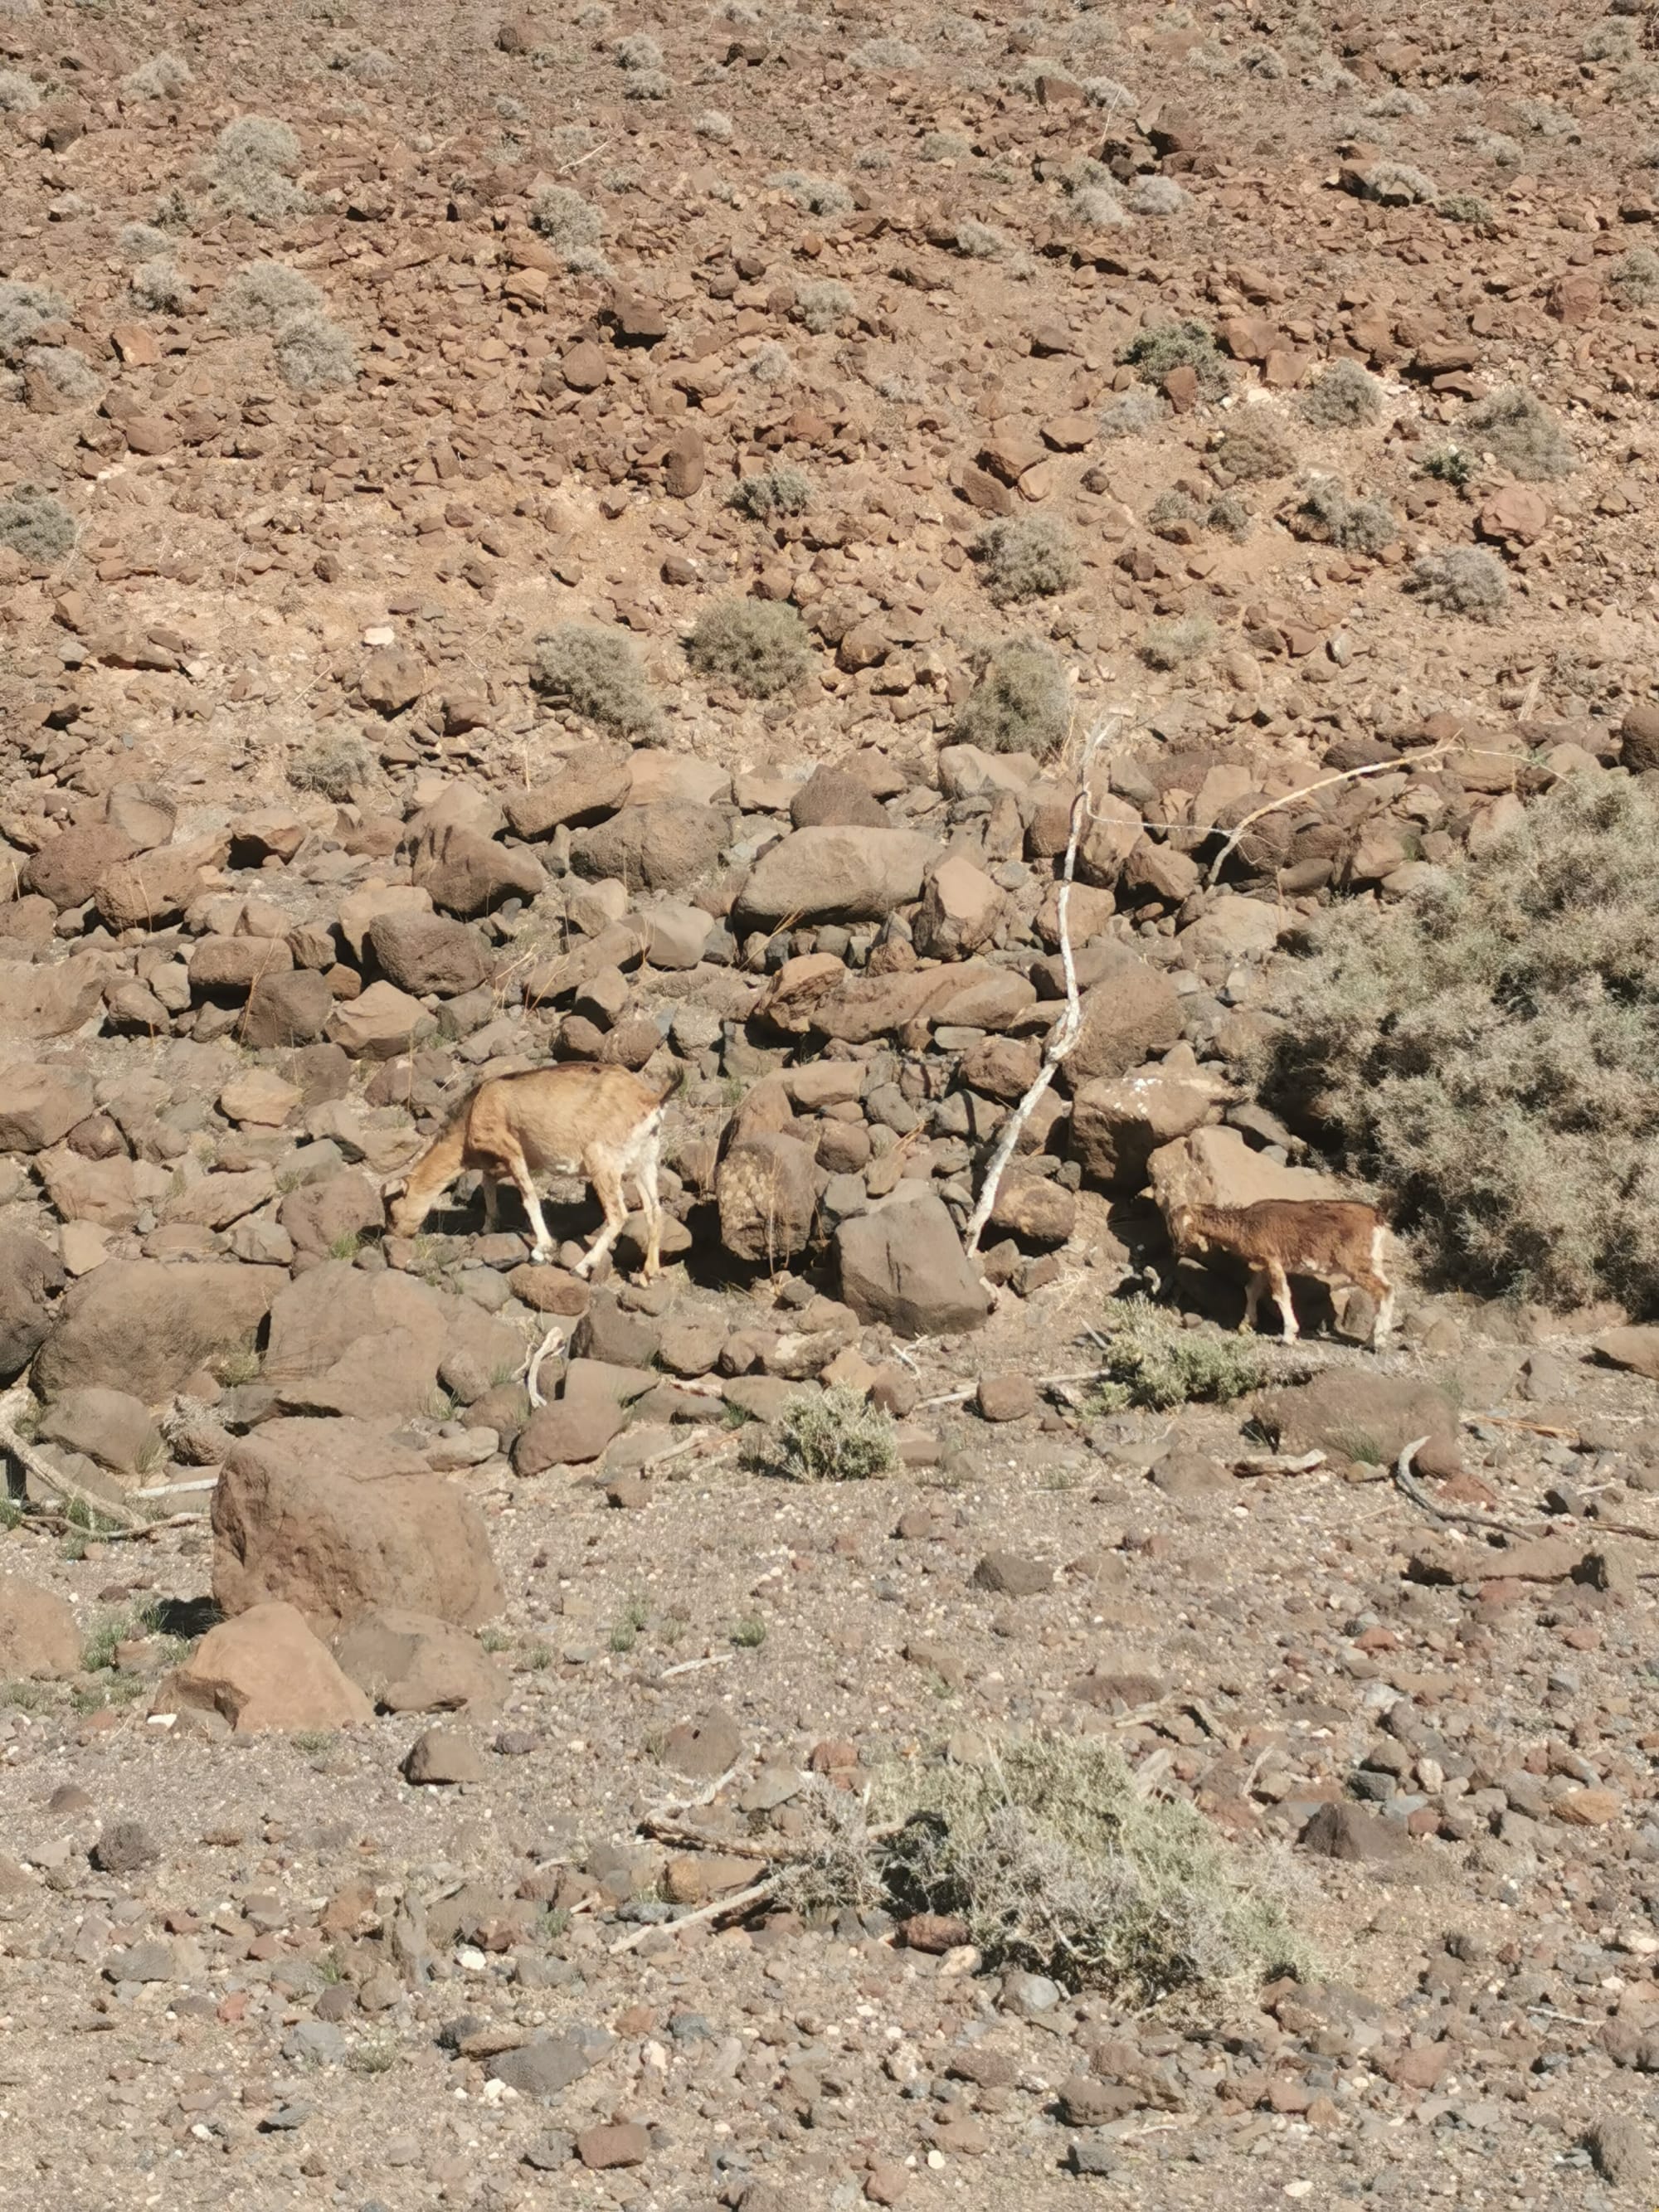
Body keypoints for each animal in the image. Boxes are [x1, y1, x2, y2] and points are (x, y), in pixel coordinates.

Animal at [387, 1066, 672, 1282]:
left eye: (392, 1210)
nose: (395, 1236)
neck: (473, 1112)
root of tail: (650, 1102)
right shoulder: (502, 1162)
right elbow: (488, 1183)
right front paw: (488, 1227)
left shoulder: (511, 1149)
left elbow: (529, 1197)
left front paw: (541, 1250)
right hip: (645, 1162)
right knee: (654, 1211)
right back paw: (649, 1273)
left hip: (602, 1161)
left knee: (618, 1214)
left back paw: (581, 1267)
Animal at [1168, 1203, 1407, 1335]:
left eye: (1175, 1226)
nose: (1176, 1247)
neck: (1245, 1226)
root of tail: (1376, 1219)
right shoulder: (1262, 1263)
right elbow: (1251, 1290)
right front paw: (1247, 1324)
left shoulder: (1273, 1261)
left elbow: (1281, 1295)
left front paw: (1289, 1335)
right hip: (1372, 1262)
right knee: (1388, 1288)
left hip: (1356, 1264)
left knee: (1384, 1291)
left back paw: (1377, 1340)